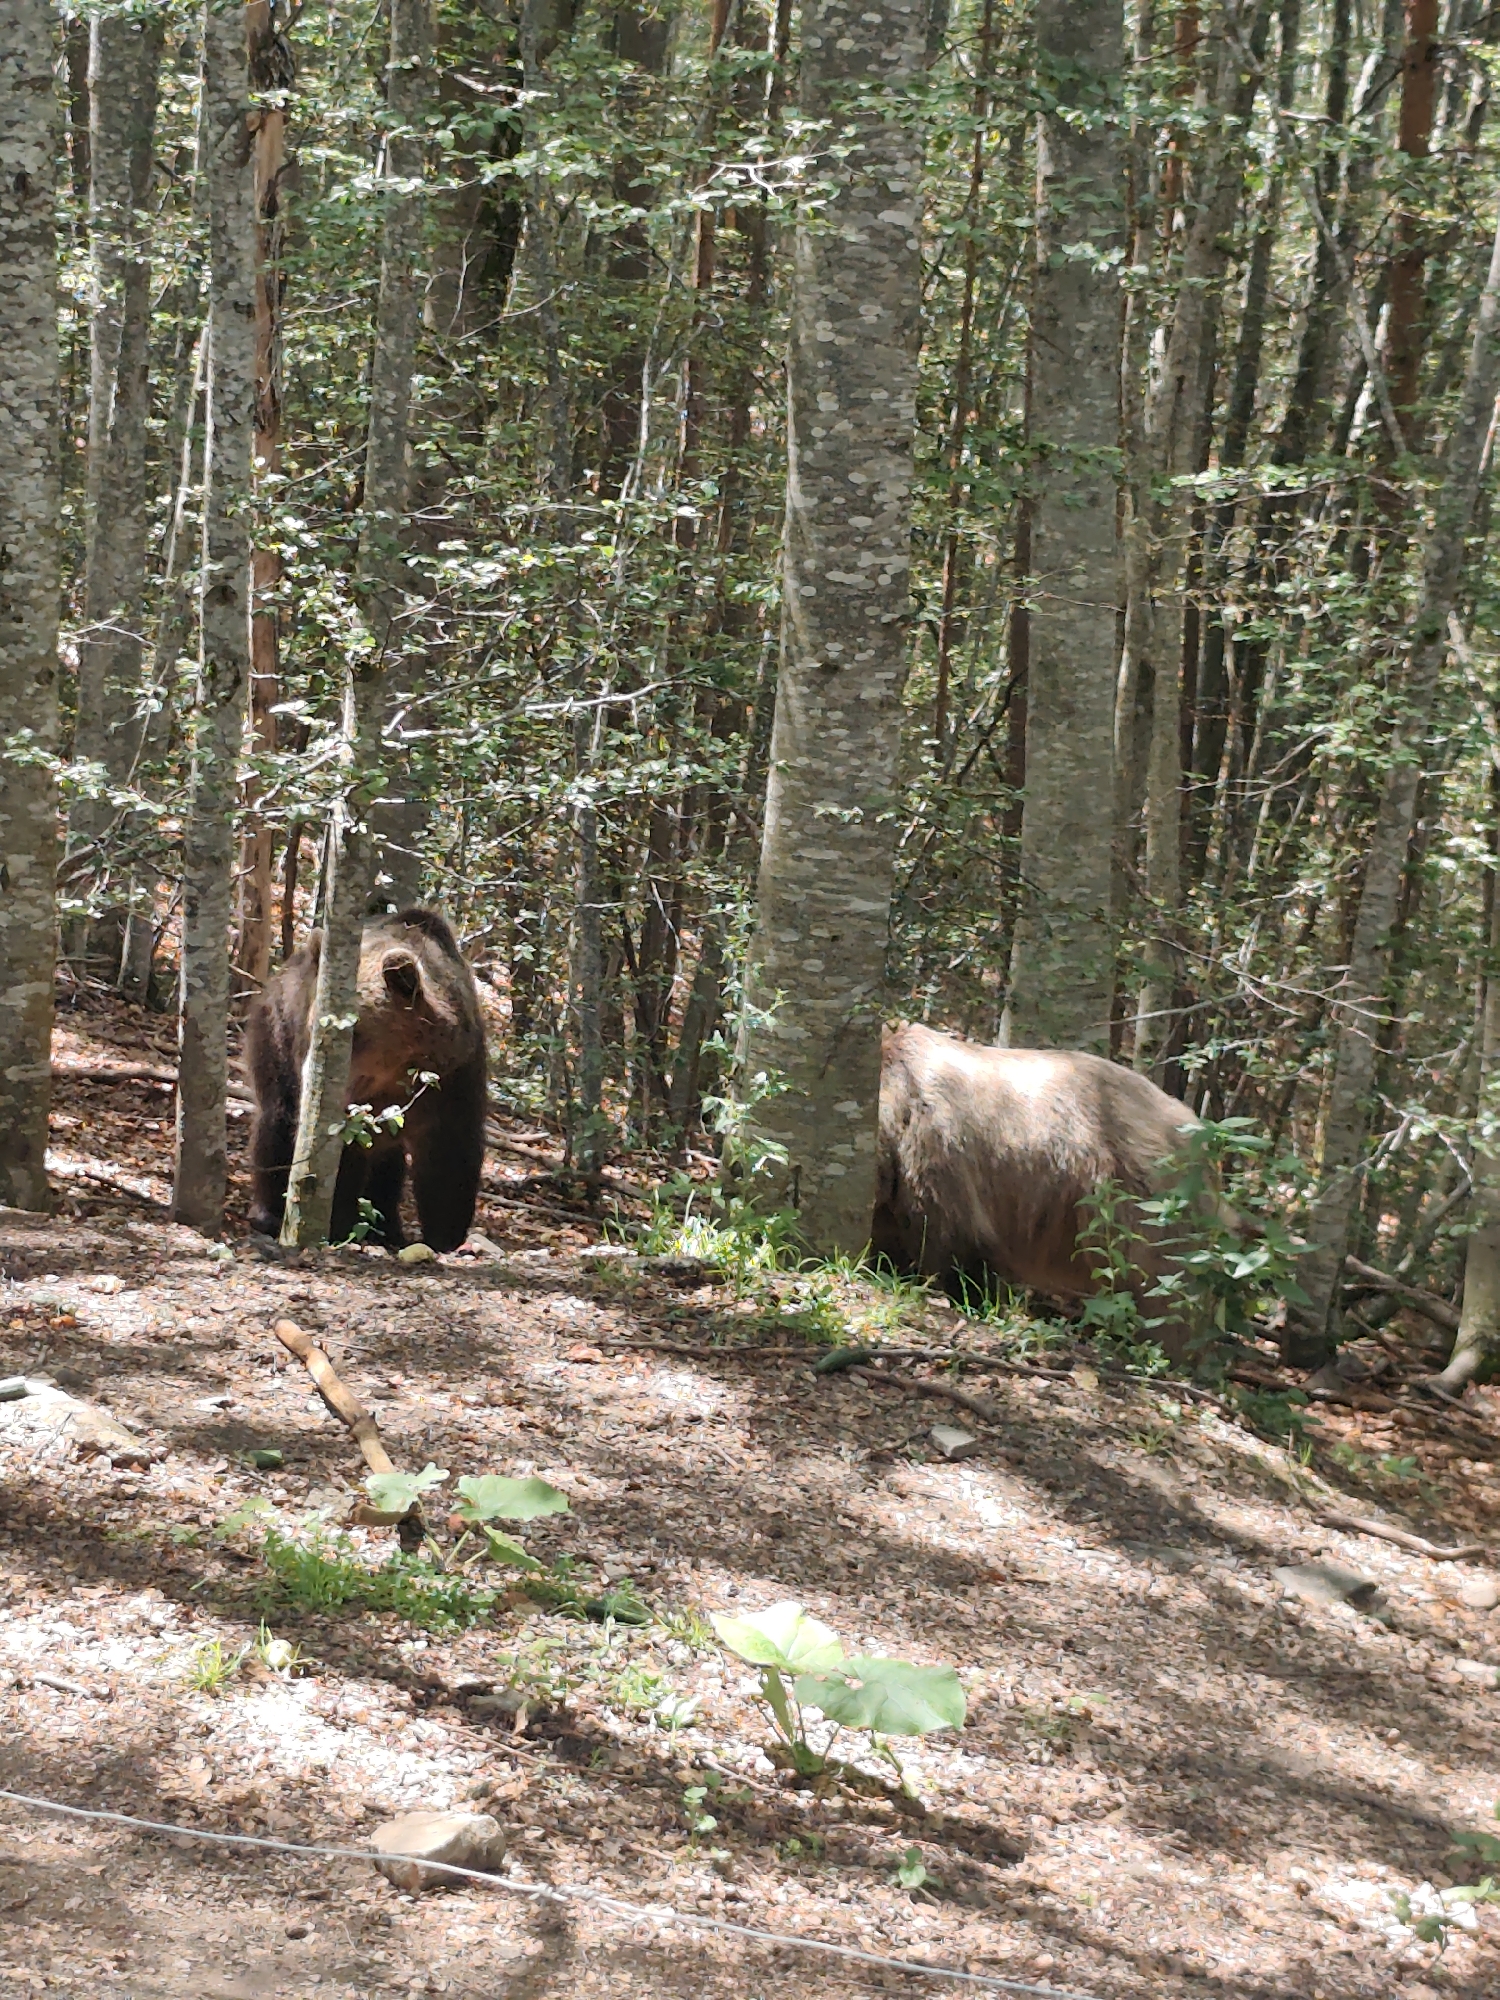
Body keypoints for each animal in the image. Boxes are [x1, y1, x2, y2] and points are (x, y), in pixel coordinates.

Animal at [246, 907, 487, 1252]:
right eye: (314, 1029)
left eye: (355, 1033)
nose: (310, 1079)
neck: (395, 1073)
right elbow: (343, 1155)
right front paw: (337, 1224)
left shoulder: (453, 1076)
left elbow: (450, 1151)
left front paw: (446, 1235)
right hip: (274, 1031)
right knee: (275, 1118)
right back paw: (268, 1214)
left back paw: (387, 1228)